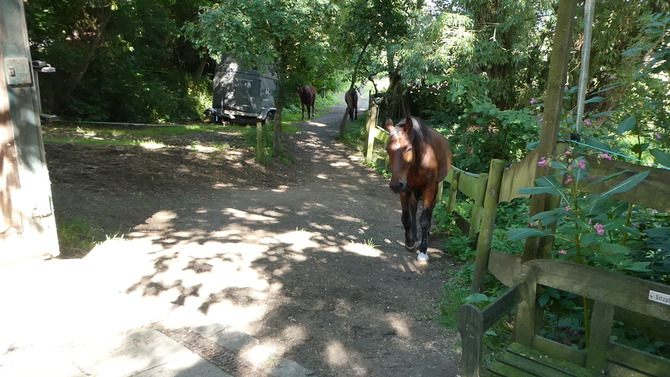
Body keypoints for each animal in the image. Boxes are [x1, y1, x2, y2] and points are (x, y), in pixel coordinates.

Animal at [386, 117, 454, 262]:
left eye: (408, 148)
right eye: (387, 149)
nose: (395, 185)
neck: (418, 161)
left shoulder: (429, 189)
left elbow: (424, 219)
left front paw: (423, 250)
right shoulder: (405, 189)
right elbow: (406, 217)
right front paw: (410, 242)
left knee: (430, 208)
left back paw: (426, 235)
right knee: (413, 207)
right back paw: (415, 236)